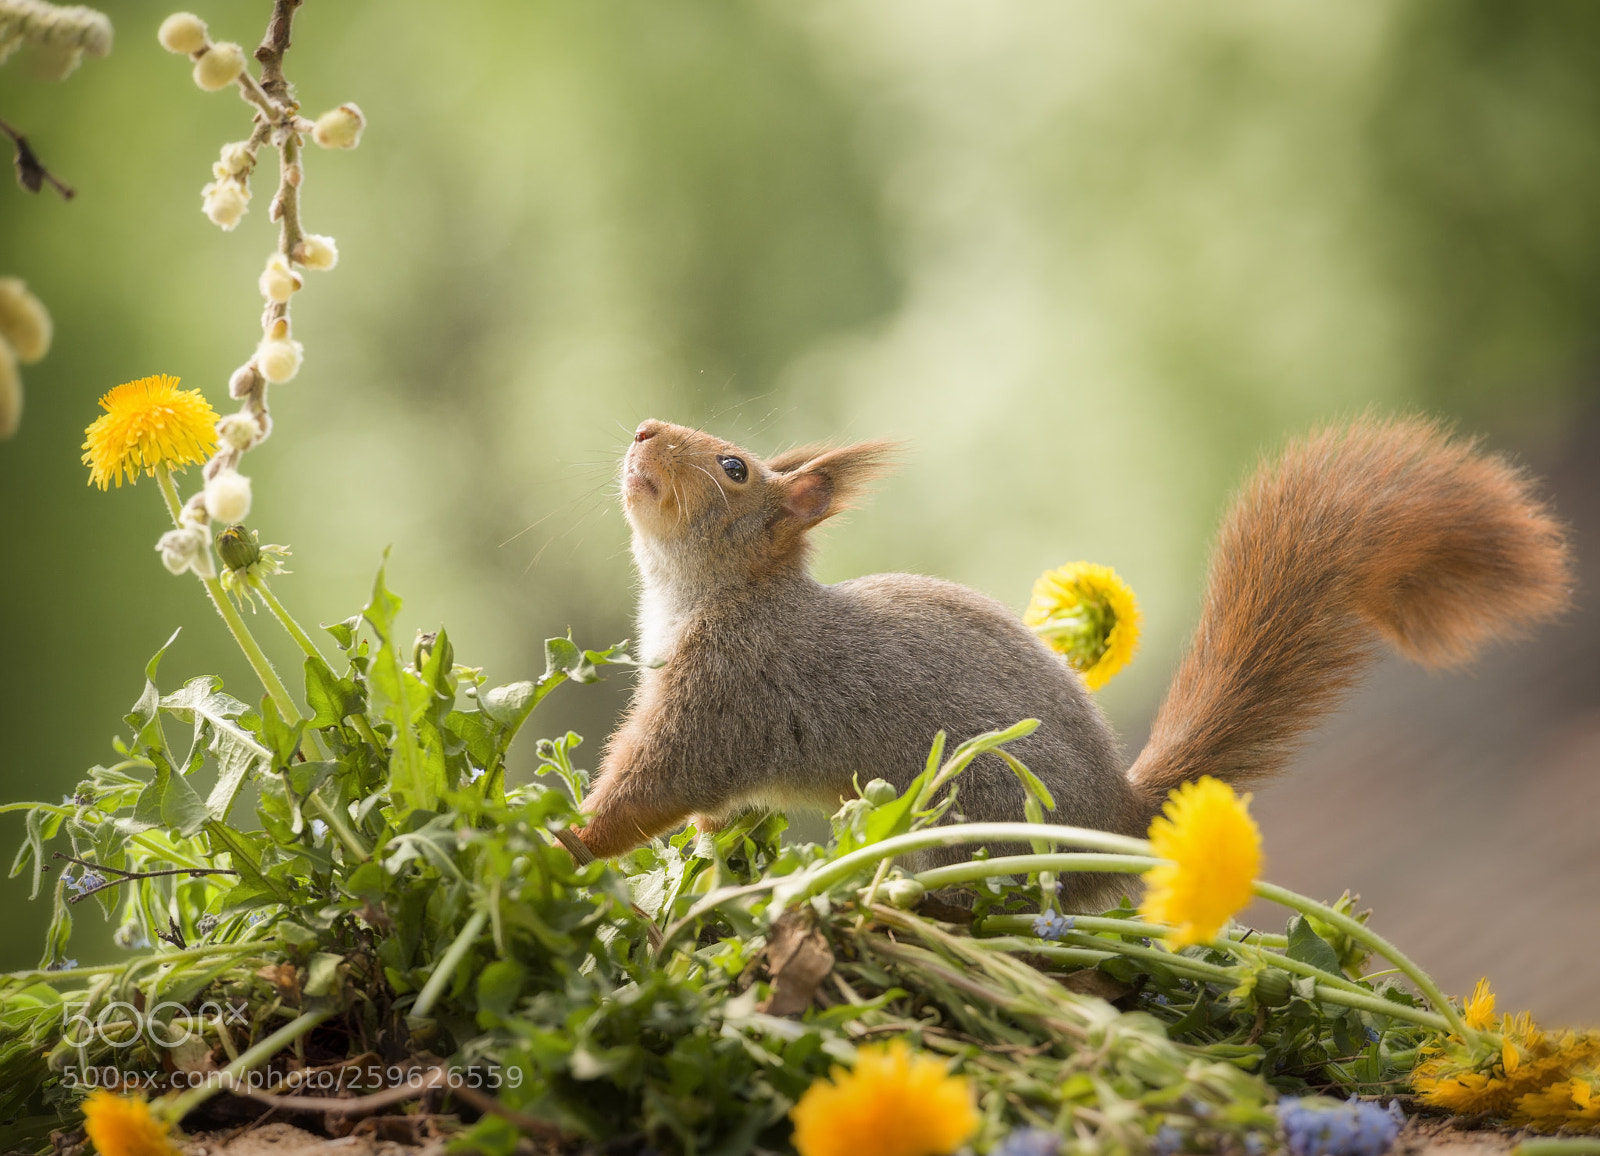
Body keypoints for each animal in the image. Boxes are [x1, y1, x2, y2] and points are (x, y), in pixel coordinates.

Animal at [575, 415, 1572, 903]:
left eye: (734, 468)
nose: (644, 427)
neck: (709, 595)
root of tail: (1116, 820)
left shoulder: (725, 694)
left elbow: (648, 788)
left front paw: (565, 840)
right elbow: (709, 813)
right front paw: (705, 859)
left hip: (979, 821)